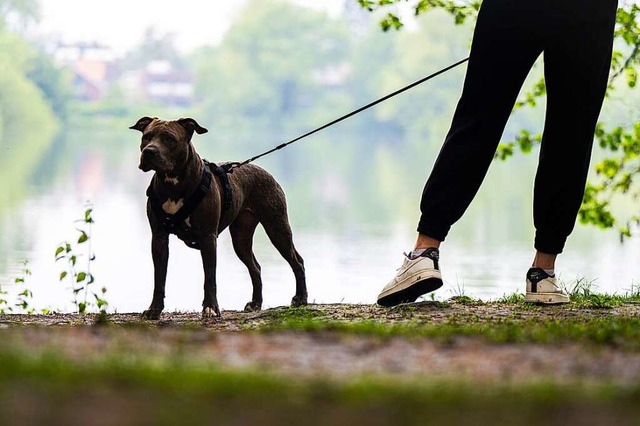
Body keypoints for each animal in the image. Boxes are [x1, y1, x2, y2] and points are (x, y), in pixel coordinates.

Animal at [130, 115, 308, 316]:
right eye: (146, 136)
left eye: (169, 138)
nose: (149, 151)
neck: (173, 184)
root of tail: (263, 170)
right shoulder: (159, 238)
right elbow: (159, 278)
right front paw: (154, 309)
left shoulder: (208, 237)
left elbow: (210, 276)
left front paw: (210, 307)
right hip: (241, 238)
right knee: (255, 267)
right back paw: (256, 303)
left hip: (277, 227)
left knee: (297, 261)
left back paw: (300, 298)